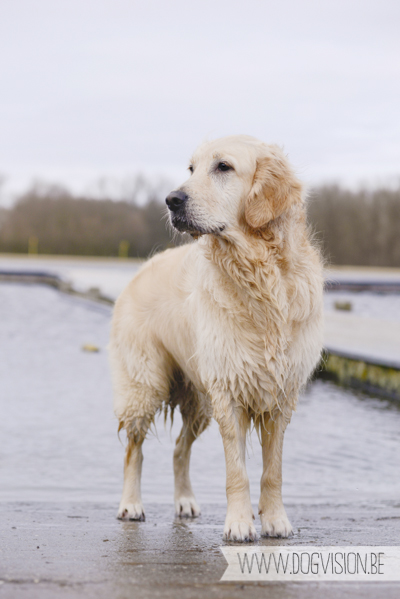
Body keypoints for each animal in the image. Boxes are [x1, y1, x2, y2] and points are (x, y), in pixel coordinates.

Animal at [110, 136, 324, 544]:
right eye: (191, 169)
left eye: (223, 166)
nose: (171, 199)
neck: (257, 273)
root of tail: (141, 267)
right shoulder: (229, 392)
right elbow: (236, 471)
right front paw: (239, 524)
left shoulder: (281, 395)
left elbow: (272, 470)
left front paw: (275, 520)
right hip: (146, 385)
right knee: (134, 449)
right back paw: (130, 504)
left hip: (199, 403)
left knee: (179, 449)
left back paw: (185, 501)